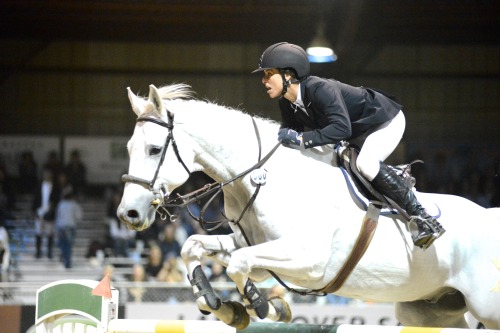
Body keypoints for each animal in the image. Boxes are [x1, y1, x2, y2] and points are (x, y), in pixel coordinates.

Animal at [118, 84, 500, 328]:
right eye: (128, 148)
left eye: (154, 149)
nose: (128, 214)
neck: (263, 179)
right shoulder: (255, 250)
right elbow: (193, 247)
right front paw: (222, 307)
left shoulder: (309, 260)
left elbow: (238, 265)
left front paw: (265, 307)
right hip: (431, 310)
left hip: (485, 306)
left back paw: (425, 225)